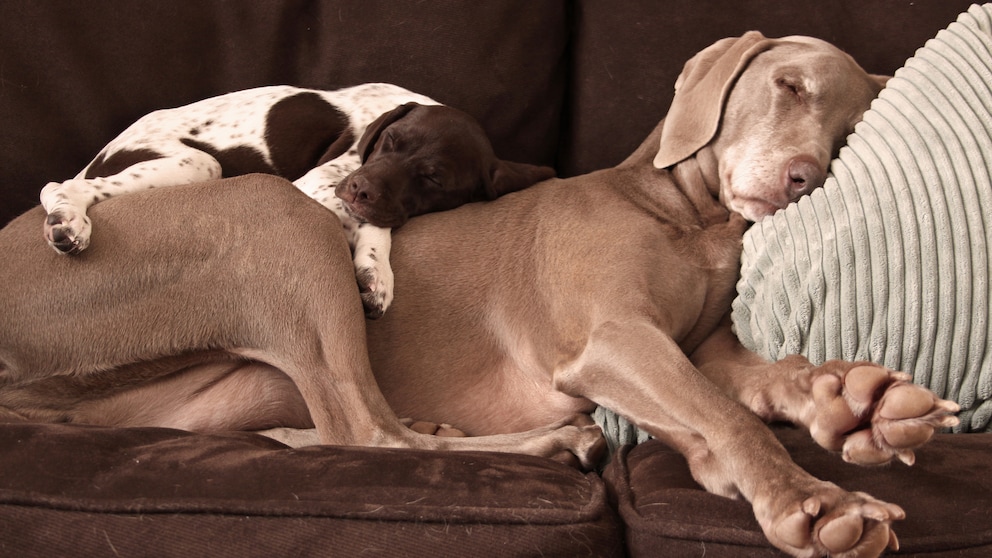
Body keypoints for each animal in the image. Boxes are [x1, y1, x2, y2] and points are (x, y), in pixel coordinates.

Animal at [38, 83, 556, 320]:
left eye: (432, 177)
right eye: (390, 142)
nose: (358, 189)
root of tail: (101, 155)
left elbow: (379, 223)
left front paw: (374, 273)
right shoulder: (317, 185)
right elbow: (376, 222)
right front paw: (377, 266)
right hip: (198, 166)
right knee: (61, 187)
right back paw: (69, 222)